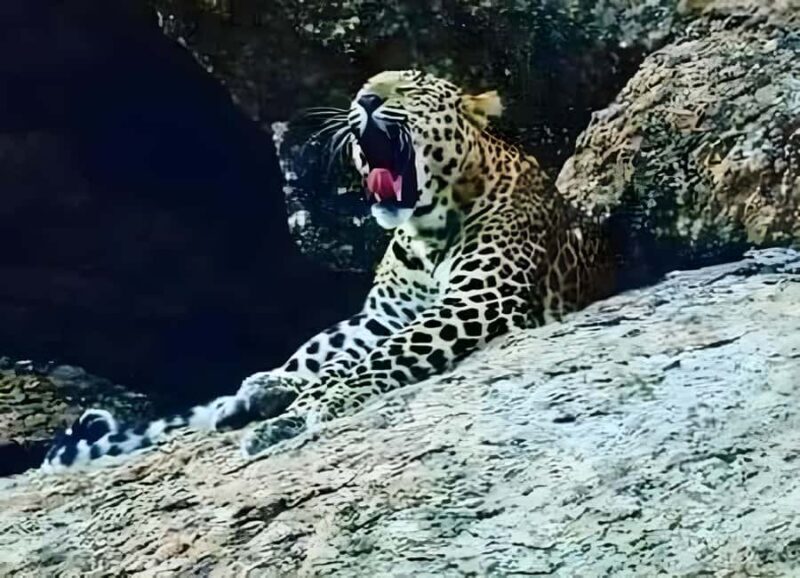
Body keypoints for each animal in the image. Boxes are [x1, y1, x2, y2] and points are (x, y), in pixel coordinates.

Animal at [41, 70, 616, 473]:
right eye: (365, 87)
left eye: (412, 89)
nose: (366, 102)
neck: (426, 227)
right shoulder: (383, 317)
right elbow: (346, 351)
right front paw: (293, 392)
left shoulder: (477, 300)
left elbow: (381, 358)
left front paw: (320, 402)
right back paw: (255, 390)